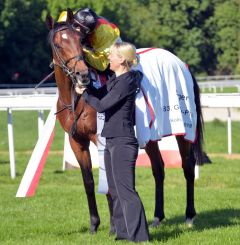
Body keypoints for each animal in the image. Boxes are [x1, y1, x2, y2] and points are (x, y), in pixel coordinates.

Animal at [45, 9, 204, 234]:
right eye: (59, 44)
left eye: (78, 41)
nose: (82, 75)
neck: (76, 98)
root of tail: (182, 64)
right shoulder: (76, 141)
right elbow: (88, 181)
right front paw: (94, 224)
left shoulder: (100, 139)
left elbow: (108, 180)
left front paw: (114, 226)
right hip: (150, 134)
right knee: (158, 169)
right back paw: (157, 217)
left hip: (183, 127)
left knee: (188, 166)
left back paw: (189, 216)